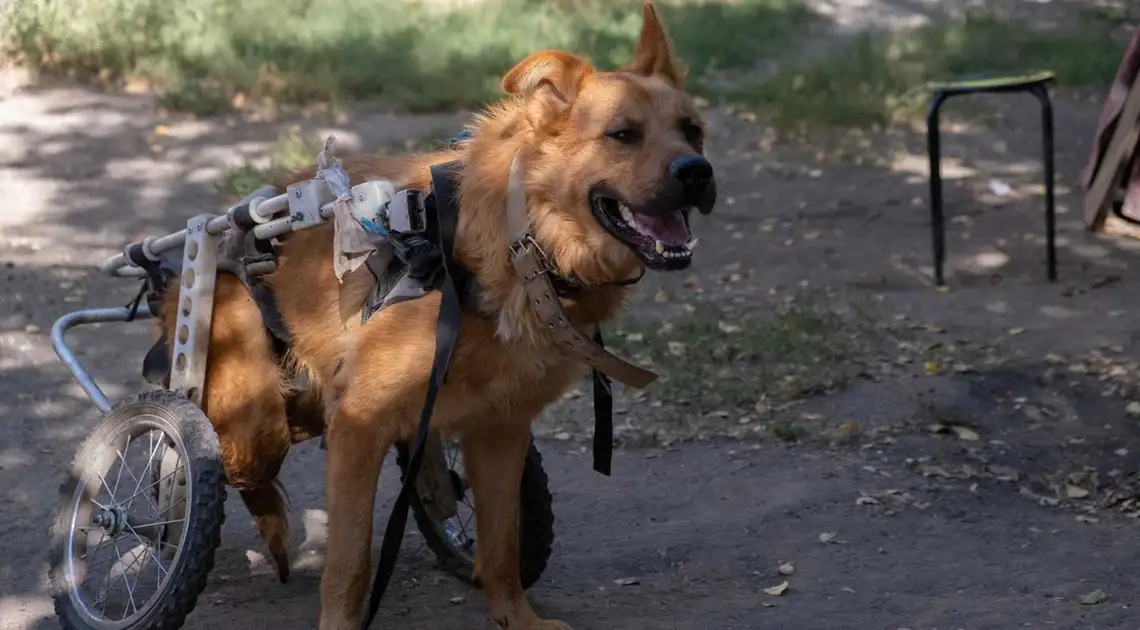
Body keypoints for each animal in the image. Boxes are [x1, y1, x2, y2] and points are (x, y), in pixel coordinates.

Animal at [158, 2, 720, 624]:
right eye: (623, 135)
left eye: (693, 131)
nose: (697, 172)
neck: (522, 246)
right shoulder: (359, 422)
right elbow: (350, 563)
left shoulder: (499, 430)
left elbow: (500, 548)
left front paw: (516, 618)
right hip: (254, 413)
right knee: (243, 460)